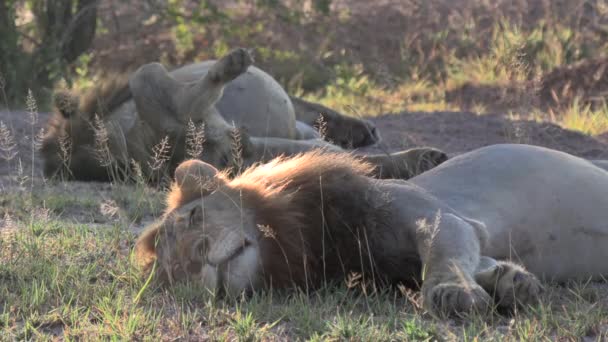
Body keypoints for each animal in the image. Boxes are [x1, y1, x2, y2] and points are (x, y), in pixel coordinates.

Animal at [135, 143, 608, 316]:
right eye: (175, 272)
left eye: (194, 216)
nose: (199, 256)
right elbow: (479, 261)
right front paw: (513, 282)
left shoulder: (440, 215)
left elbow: (444, 256)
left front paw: (453, 293)